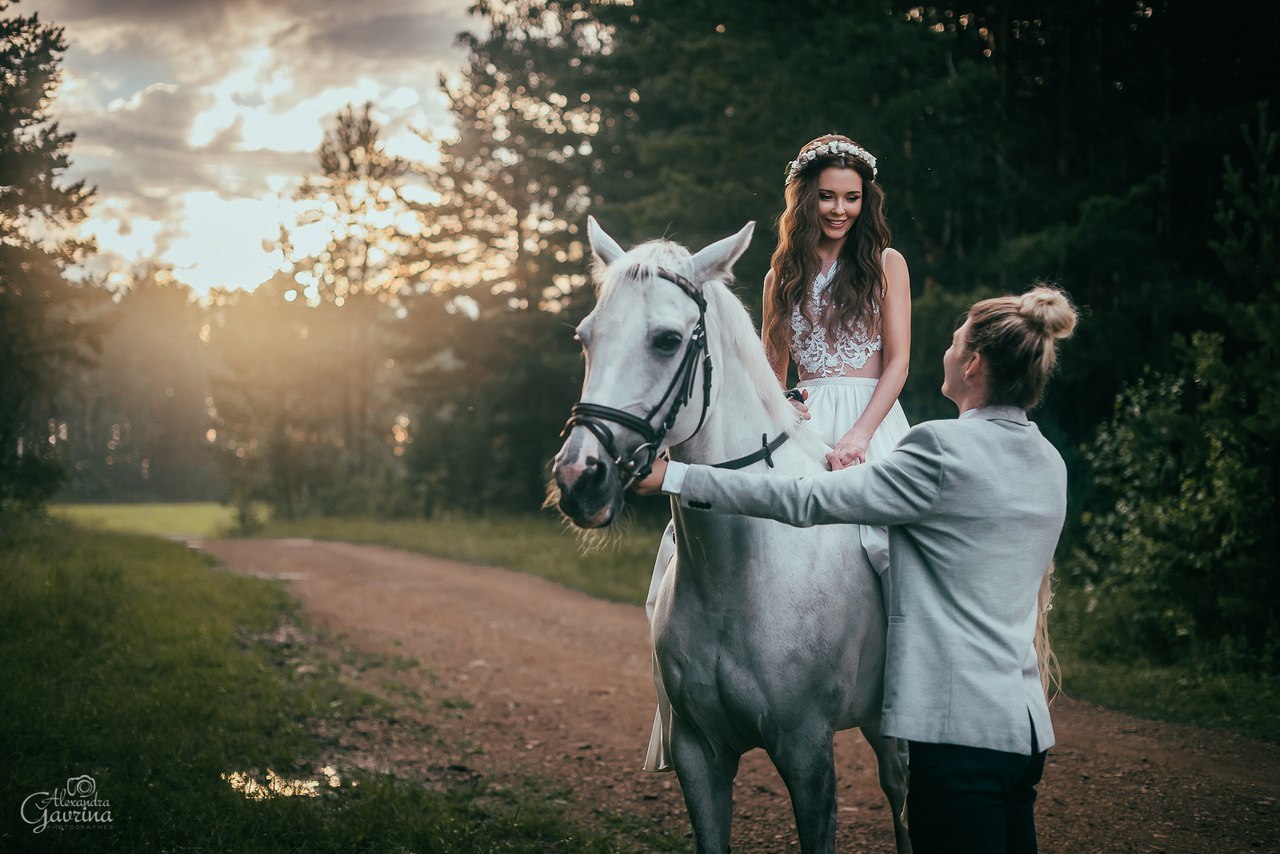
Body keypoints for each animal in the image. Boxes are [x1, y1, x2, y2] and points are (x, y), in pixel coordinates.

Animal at [550, 217, 911, 850]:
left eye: (667, 340)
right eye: (586, 337)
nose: (578, 479)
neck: (737, 572)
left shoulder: (808, 756)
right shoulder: (700, 756)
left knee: (901, 791)